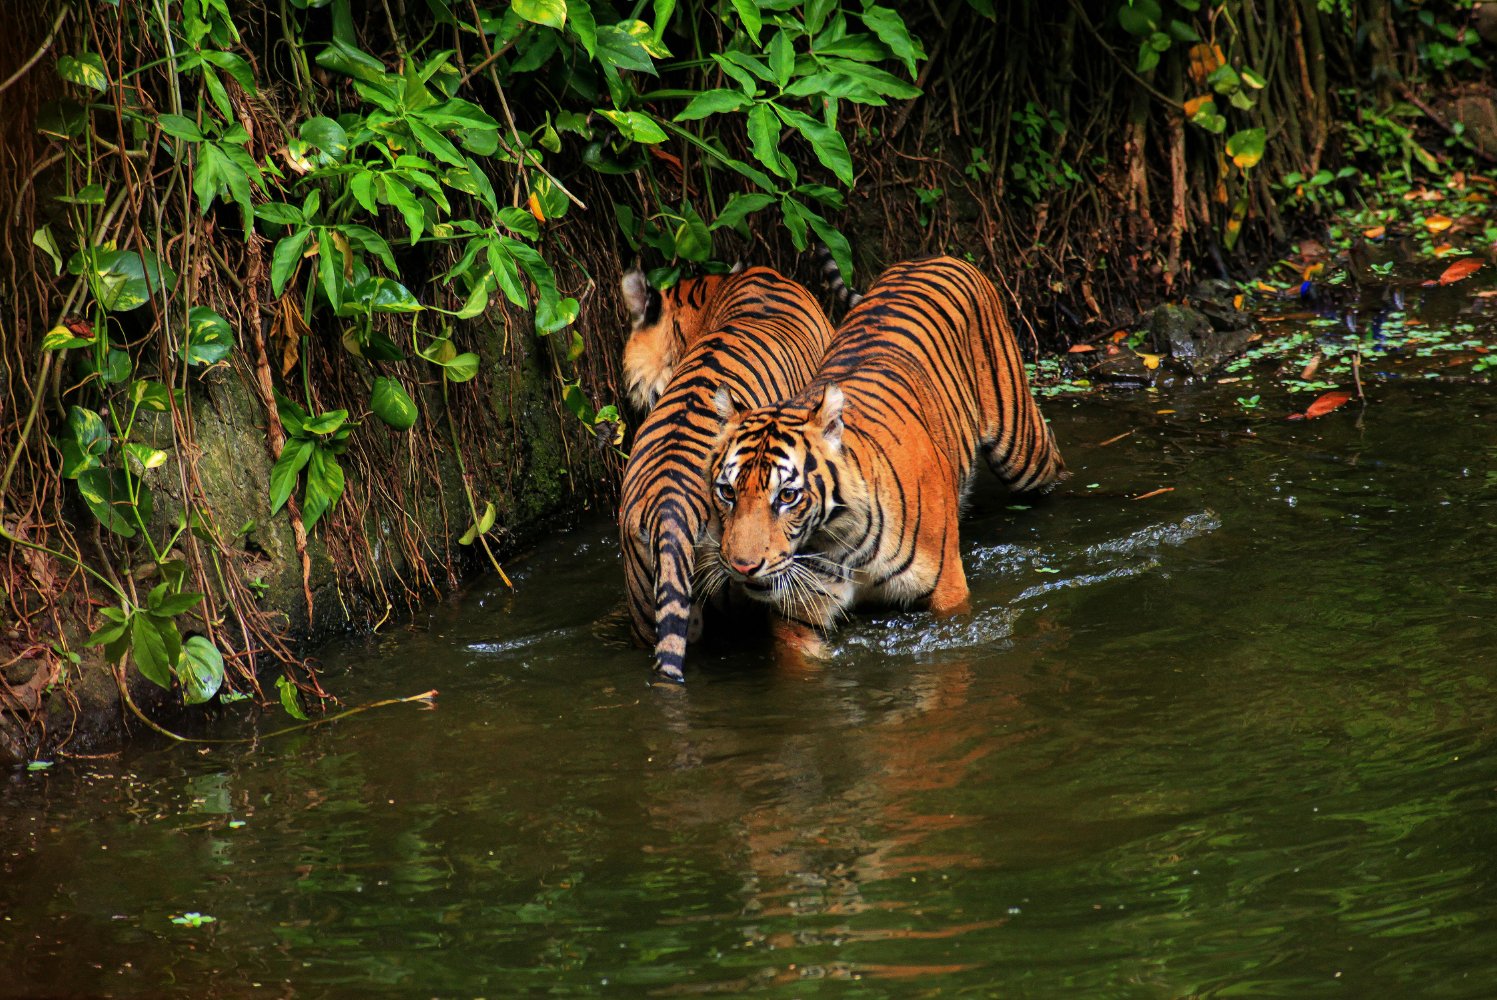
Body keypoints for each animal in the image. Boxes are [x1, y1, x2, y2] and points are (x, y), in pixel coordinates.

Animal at [700, 255, 1067, 652]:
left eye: (787, 496)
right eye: (727, 492)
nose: (742, 566)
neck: (838, 541)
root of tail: (936, 256)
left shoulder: (947, 592)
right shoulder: (799, 616)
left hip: (1022, 449)